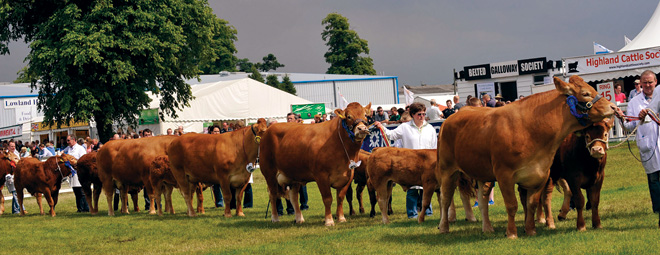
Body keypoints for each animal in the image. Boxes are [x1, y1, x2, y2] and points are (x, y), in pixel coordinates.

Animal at [436, 75, 616, 239]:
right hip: (447, 169)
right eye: (586, 93)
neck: (531, 129)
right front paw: (511, 233)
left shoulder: (540, 175)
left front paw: (530, 230)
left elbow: (532, 203)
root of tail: (451, 118)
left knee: (482, 200)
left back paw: (487, 228)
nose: (613, 107)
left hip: (481, 173)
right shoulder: (504, 175)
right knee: (445, 198)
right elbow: (512, 205)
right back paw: (444, 227)